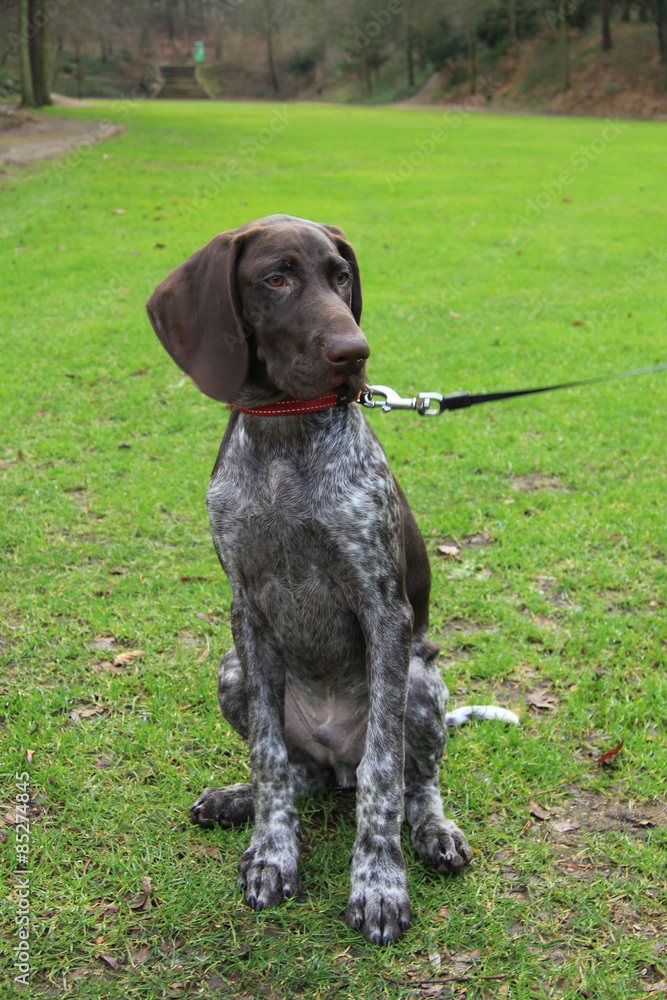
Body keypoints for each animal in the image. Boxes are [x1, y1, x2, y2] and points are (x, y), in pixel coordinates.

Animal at [149, 213, 520, 944]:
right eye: (276, 278)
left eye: (341, 276)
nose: (355, 350)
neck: (286, 438)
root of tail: (331, 757)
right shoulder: (246, 613)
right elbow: (267, 759)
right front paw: (271, 852)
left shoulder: (383, 610)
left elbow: (384, 774)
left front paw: (378, 883)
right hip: (231, 669)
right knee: (299, 774)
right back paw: (240, 798)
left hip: (418, 679)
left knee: (410, 780)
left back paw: (433, 832)